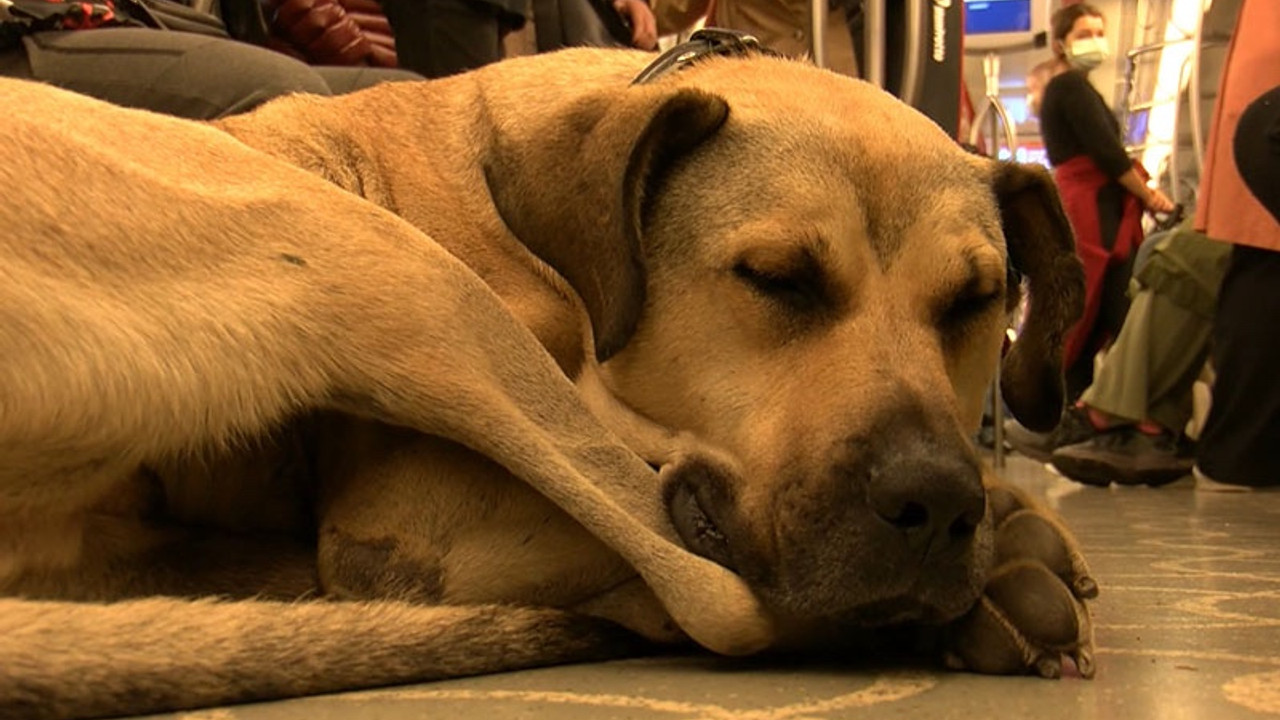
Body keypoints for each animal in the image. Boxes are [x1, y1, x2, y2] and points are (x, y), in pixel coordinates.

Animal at [2, 46, 1090, 717]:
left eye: (976, 301)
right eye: (776, 277)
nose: (937, 503)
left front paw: (1008, 517)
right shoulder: (417, 517)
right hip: (403, 280)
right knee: (714, 597)